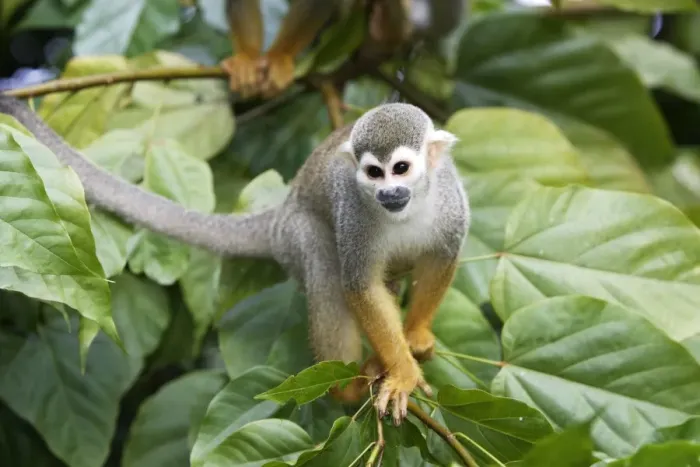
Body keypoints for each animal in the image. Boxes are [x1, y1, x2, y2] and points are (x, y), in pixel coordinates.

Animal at [0, 96, 470, 424]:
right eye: (374, 173)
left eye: (401, 168)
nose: (388, 192)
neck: (409, 208)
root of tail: (281, 211)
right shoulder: (354, 210)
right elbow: (359, 284)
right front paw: (402, 370)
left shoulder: (450, 200)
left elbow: (442, 257)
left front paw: (415, 334)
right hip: (298, 233)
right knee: (323, 266)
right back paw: (347, 388)